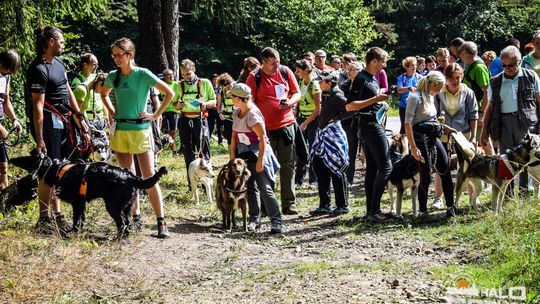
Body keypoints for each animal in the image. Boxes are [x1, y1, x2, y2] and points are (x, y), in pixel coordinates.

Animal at [13, 154, 169, 238]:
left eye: (26, 159)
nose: (12, 159)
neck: (57, 170)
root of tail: (130, 176)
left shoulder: (76, 202)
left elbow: (76, 220)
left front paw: (73, 232)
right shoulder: (81, 203)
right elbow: (81, 219)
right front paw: (78, 231)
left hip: (112, 206)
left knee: (122, 223)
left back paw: (117, 238)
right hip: (125, 206)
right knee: (127, 223)